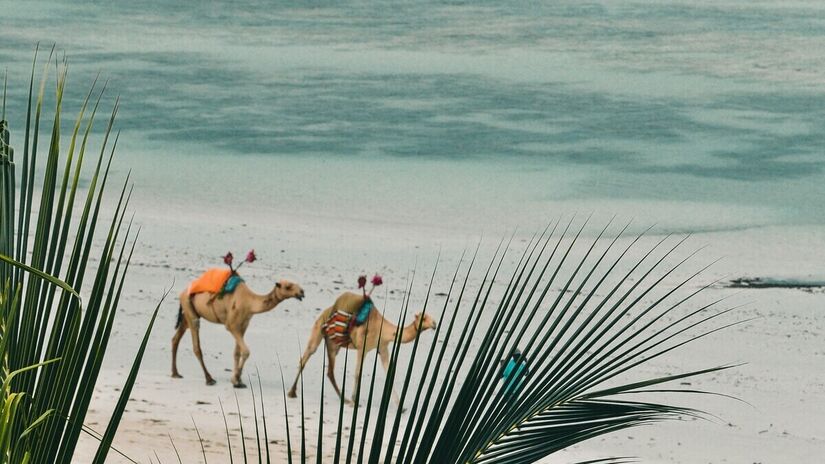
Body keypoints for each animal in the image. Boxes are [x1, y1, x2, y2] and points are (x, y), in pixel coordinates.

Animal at [172, 276, 304, 388]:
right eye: (288, 286)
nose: (302, 292)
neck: (249, 302)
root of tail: (182, 293)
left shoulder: (243, 326)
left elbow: (237, 352)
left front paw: (238, 380)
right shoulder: (232, 325)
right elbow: (246, 351)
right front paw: (236, 380)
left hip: (188, 314)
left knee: (175, 338)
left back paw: (175, 373)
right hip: (190, 311)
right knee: (196, 345)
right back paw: (209, 379)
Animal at [286, 294, 434, 406]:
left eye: (431, 317)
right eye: (423, 318)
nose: (435, 324)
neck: (382, 328)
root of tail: (326, 311)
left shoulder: (382, 347)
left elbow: (389, 374)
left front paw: (400, 406)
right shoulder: (362, 346)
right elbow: (358, 373)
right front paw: (354, 400)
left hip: (333, 343)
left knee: (329, 371)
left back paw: (343, 399)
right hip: (319, 330)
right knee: (307, 356)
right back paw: (292, 392)